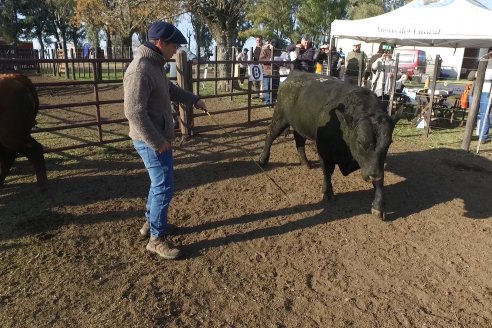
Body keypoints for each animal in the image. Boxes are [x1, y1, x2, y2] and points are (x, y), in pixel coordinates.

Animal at [258, 72, 400, 220]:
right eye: (360, 142)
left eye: (388, 143)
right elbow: (328, 171)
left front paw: (378, 206)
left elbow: (380, 180)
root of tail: (294, 74)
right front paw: (327, 192)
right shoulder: (324, 150)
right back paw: (263, 159)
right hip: (280, 117)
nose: (373, 175)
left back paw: (305, 162)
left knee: (299, 141)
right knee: (270, 134)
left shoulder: (376, 164)